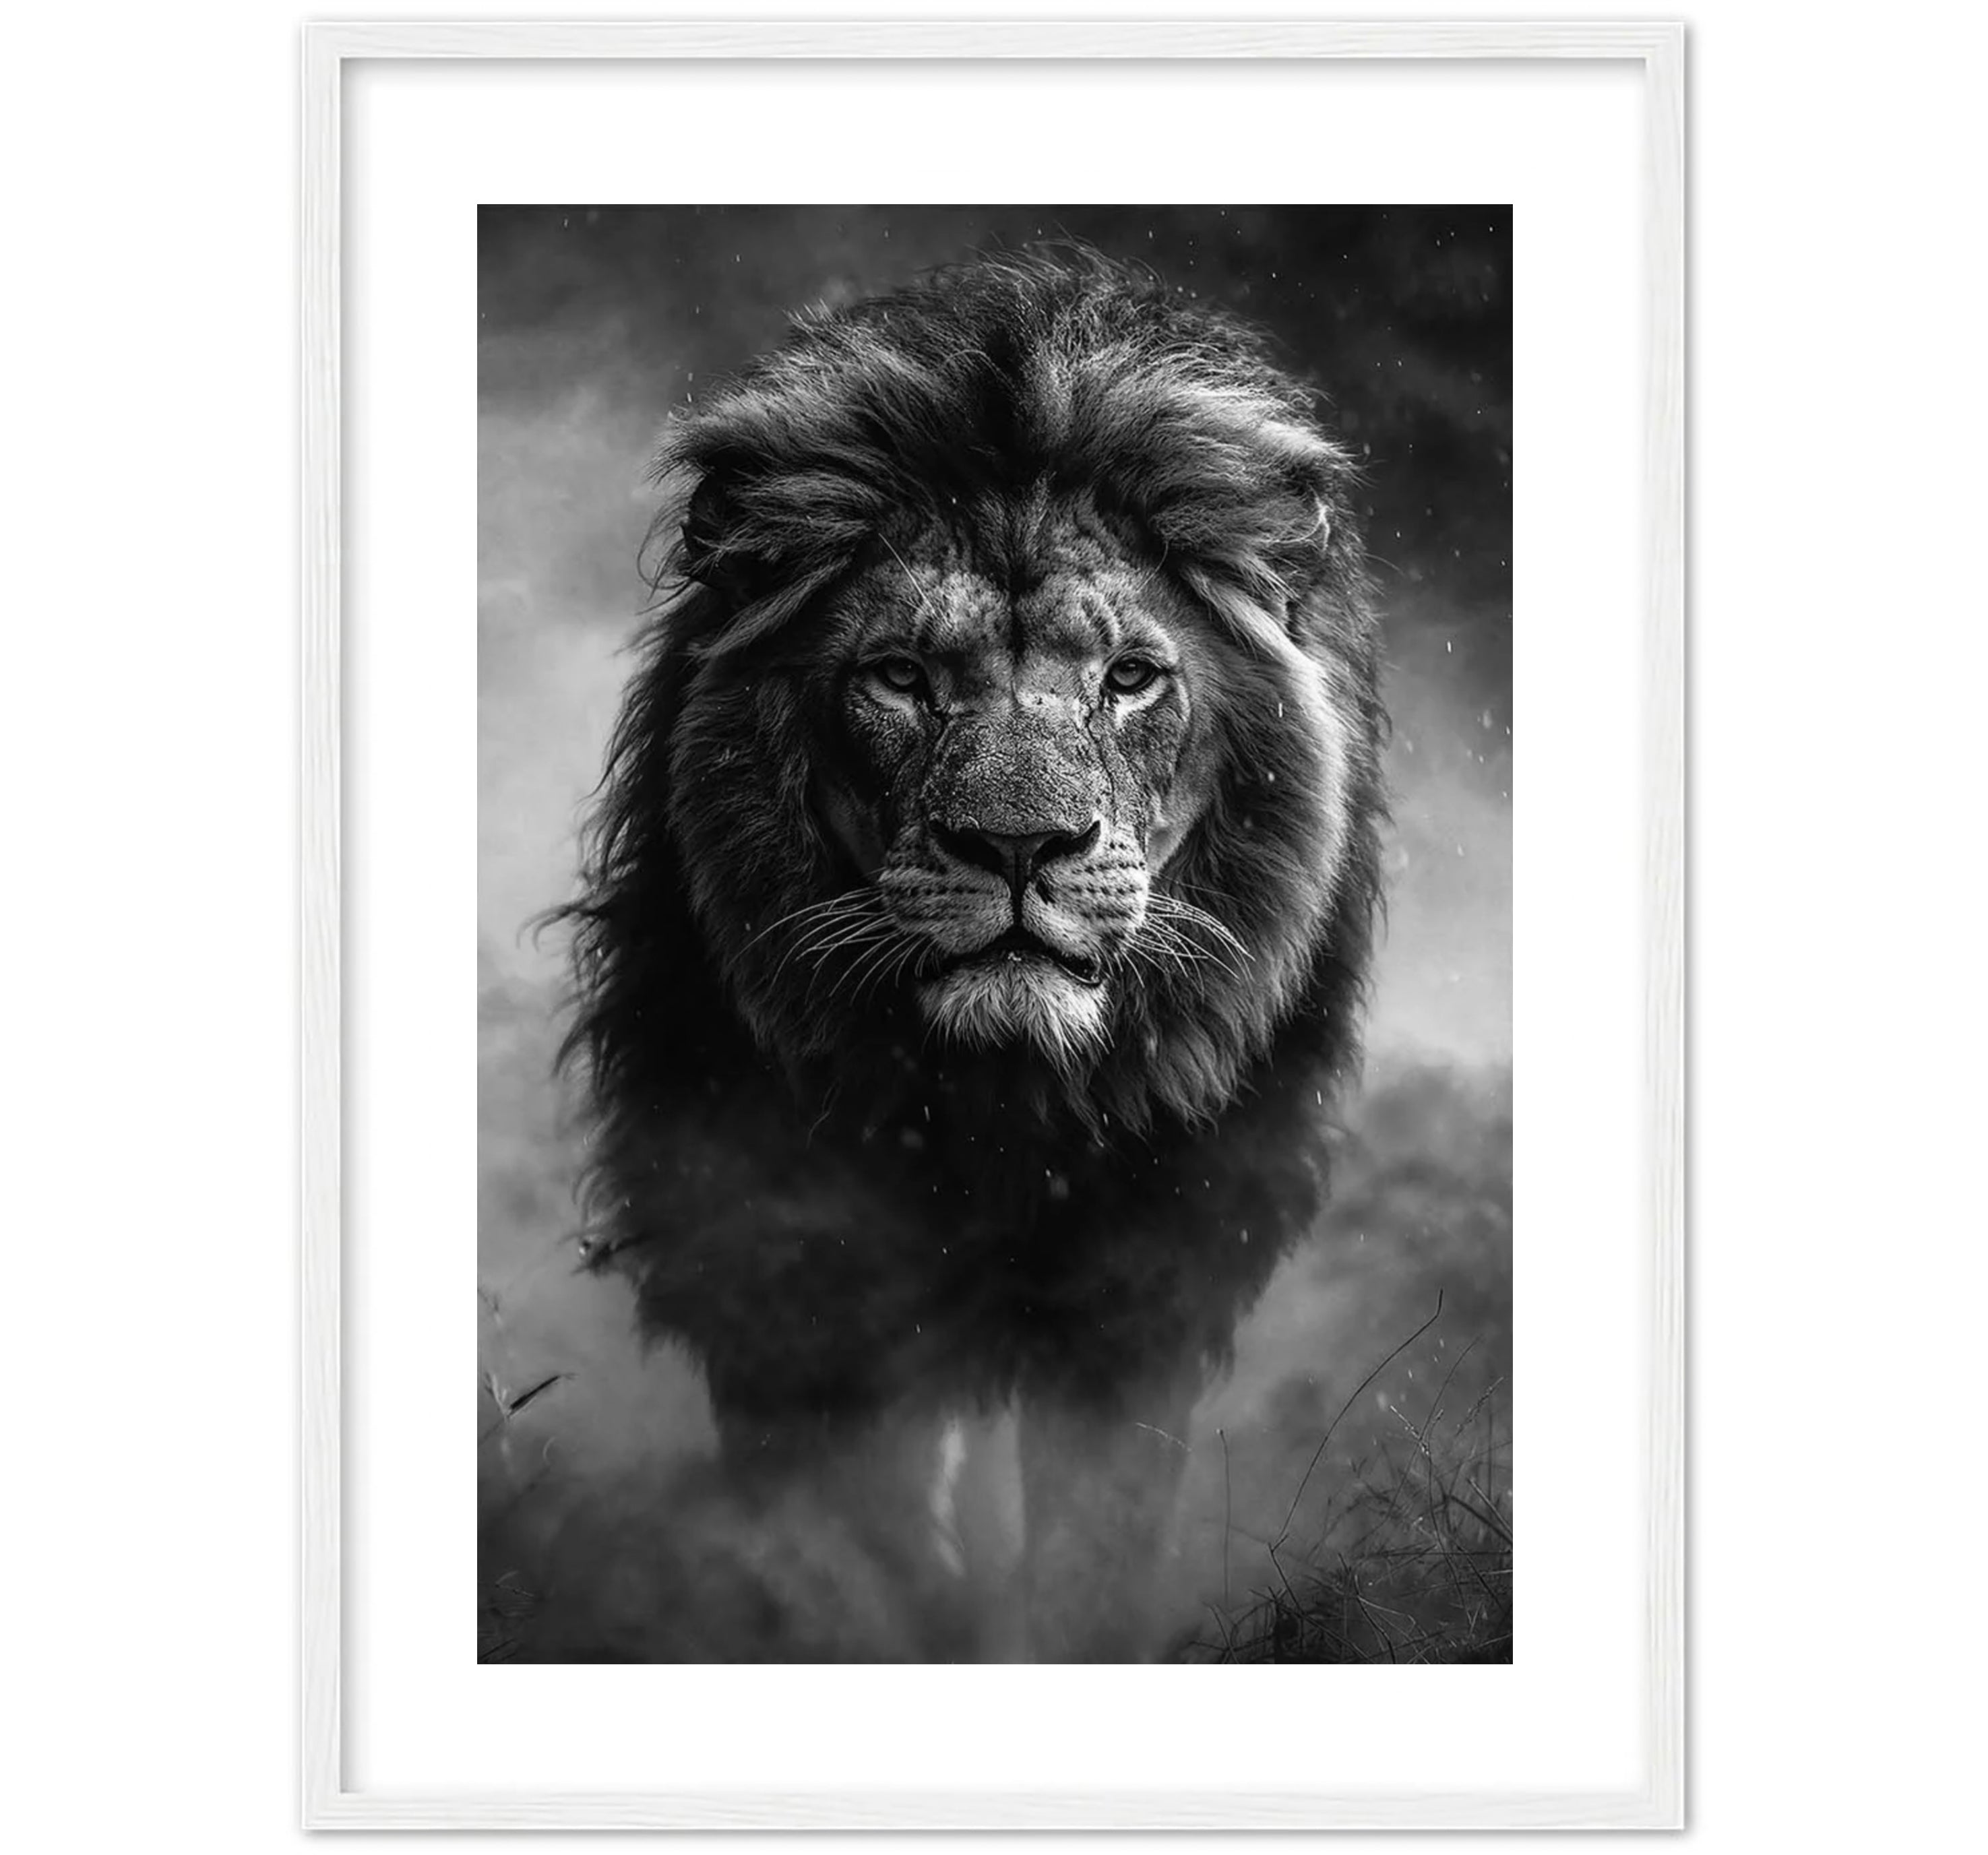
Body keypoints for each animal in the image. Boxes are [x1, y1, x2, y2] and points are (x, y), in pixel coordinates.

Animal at [553, 250, 1386, 1660]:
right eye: (897, 675)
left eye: (1129, 677)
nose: (1019, 846)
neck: (1002, 1109)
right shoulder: (789, 1273)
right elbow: (855, 1537)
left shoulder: (1141, 1292)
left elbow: (1095, 1543)